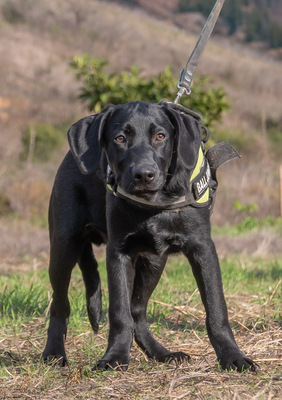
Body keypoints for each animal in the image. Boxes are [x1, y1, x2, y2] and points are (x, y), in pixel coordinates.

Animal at [42, 100, 256, 372]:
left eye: (161, 136)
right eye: (120, 138)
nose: (144, 175)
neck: (155, 202)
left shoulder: (203, 248)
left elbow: (217, 308)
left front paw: (232, 356)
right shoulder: (118, 253)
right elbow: (119, 311)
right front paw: (114, 356)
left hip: (154, 261)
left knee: (138, 311)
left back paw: (160, 353)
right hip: (64, 245)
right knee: (60, 305)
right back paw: (54, 353)